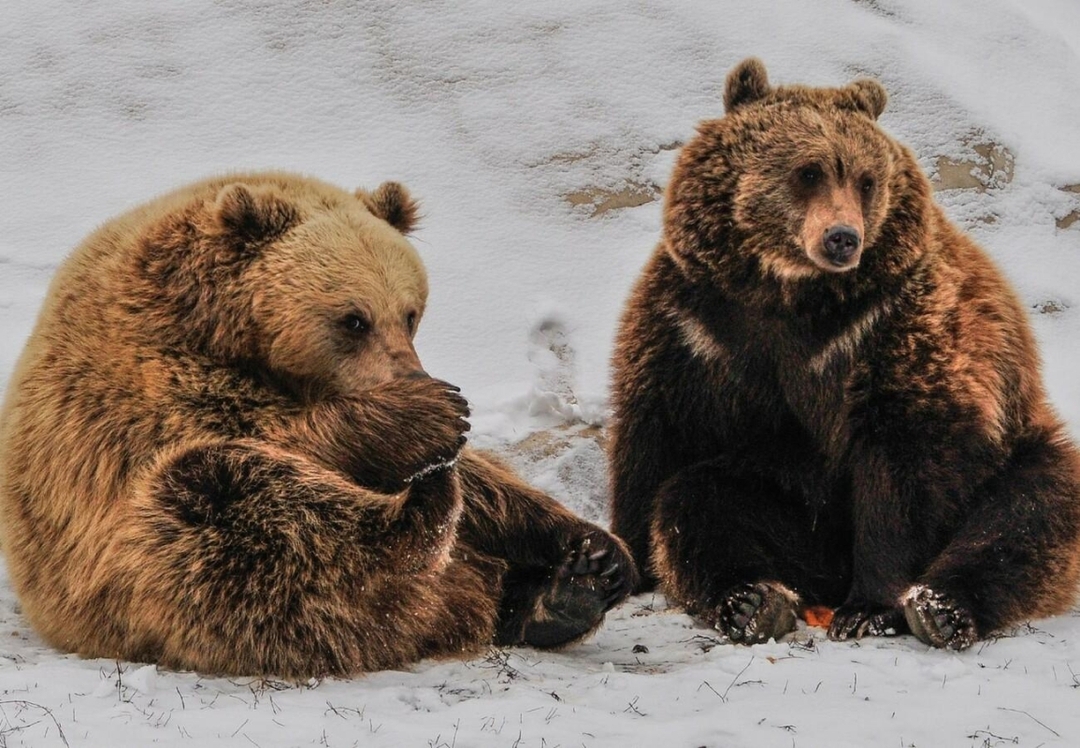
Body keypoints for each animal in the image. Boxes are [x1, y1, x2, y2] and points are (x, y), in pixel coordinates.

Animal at [0, 171, 637, 678]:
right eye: (353, 319)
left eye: (410, 312)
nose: (414, 376)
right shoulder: (144, 390)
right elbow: (256, 440)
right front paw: (425, 421)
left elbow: (489, 481)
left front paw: (594, 548)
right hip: (131, 590)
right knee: (223, 499)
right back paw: (426, 516)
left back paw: (567, 591)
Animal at [607, 58, 1080, 650]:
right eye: (807, 171)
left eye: (866, 180)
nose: (842, 238)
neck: (787, 293)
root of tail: (825, 579)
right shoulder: (697, 324)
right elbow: (656, 436)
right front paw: (625, 562)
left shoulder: (887, 325)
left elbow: (903, 468)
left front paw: (870, 608)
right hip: (797, 518)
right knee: (697, 498)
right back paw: (753, 601)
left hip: (1014, 447)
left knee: (1030, 511)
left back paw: (941, 607)